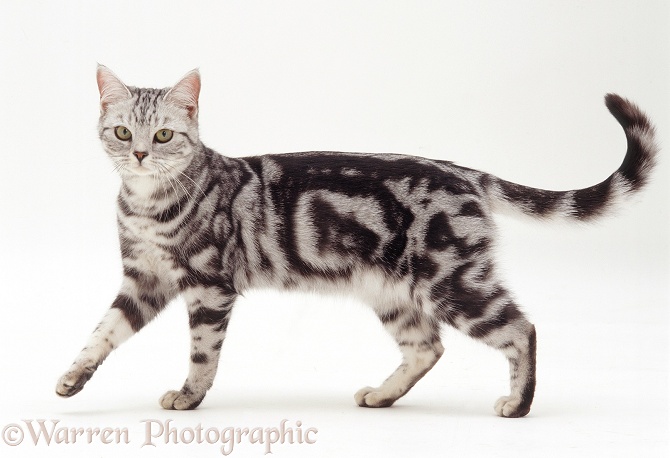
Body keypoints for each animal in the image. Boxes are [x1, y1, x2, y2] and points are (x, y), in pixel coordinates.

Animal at [55, 65, 660, 418]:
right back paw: (382, 395)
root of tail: (462, 171)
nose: (139, 154)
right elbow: (102, 332)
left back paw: (518, 402)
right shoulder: (144, 280)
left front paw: (190, 396)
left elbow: (203, 353)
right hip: (393, 294)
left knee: (521, 328)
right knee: (428, 346)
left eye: (163, 135)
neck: (146, 205)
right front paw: (71, 378)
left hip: (453, 282)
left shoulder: (208, 285)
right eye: (122, 132)